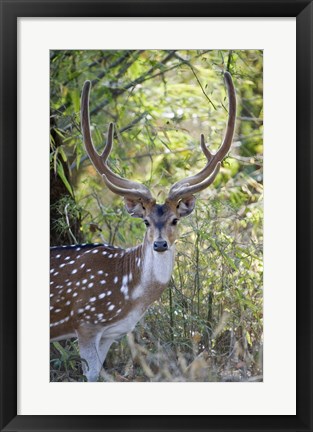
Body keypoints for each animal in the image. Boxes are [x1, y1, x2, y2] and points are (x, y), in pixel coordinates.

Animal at [49, 71, 234, 382]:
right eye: (146, 221)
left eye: (175, 219)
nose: (159, 243)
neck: (128, 296)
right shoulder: (85, 321)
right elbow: (90, 375)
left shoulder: (111, 333)